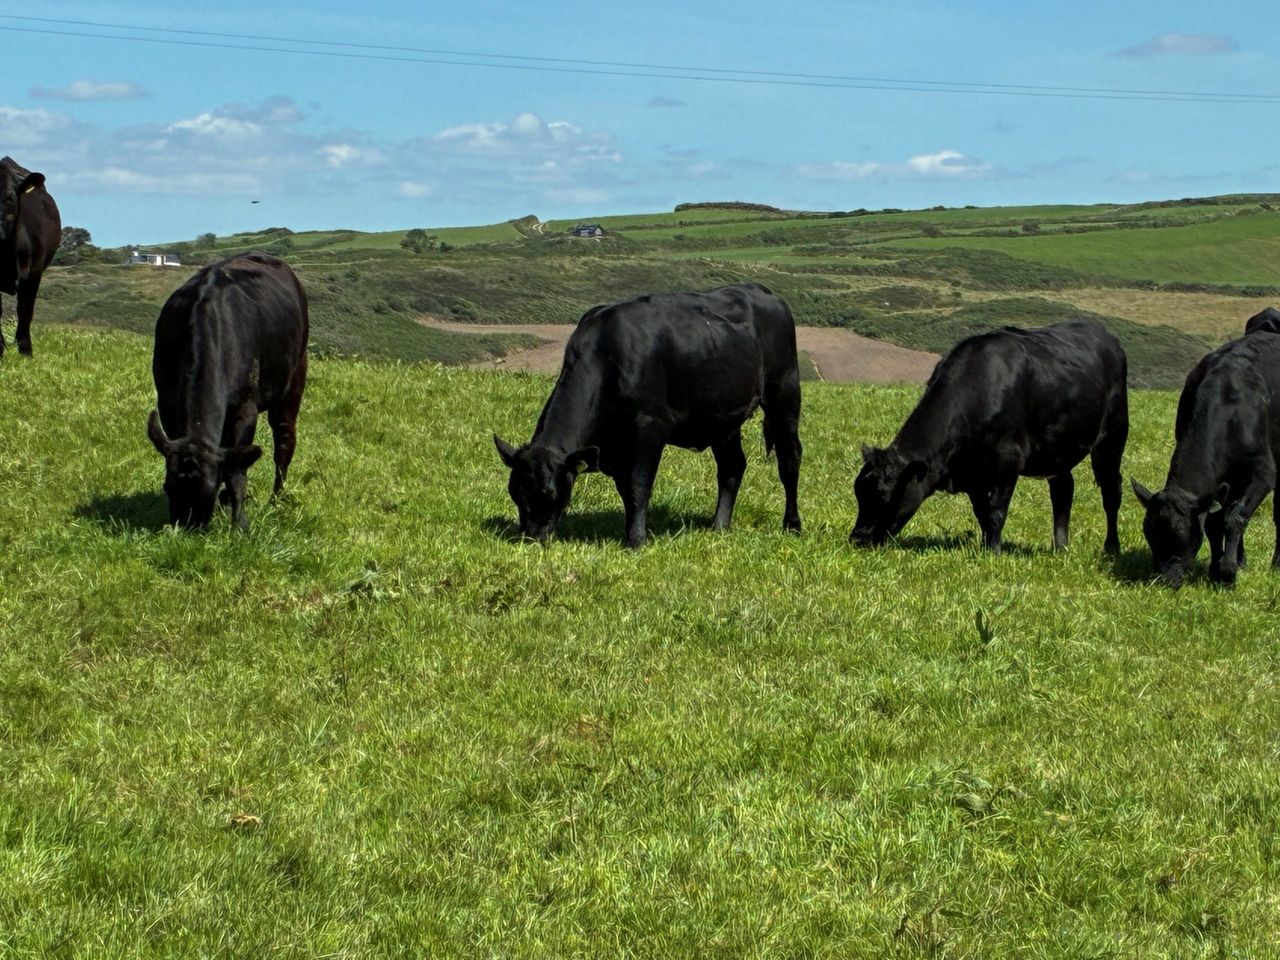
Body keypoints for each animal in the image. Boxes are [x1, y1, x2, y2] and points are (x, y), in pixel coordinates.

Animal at [147, 253, 308, 531]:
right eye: (168, 487)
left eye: (207, 491)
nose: (188, 527)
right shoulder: (166, 403)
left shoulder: (245, 409)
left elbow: (236, 472)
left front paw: (240, 522)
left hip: (296, 373)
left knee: (284, 439)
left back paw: (277, 500)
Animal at [493, 282, 802, 547]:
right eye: (514, 491)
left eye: (549, 493)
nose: (531, 538)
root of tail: (763, 291)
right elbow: (624, 488)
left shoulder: (649, 429)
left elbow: (637, 486)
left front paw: (636, 540)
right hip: (723, 418)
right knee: (732, 466)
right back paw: (719, 525)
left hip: (784, 392)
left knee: (789, 460)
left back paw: (792, 525)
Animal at [850, 318, 1128, 554]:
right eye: (858, 492)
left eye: (884, 496)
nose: (857, 538)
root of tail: (1103, 332)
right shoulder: (973, 471)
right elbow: (981, 511)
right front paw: (985, 546)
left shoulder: (1009, 458)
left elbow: (996, 510)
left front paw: (993, 552)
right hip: (1057, 448)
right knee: (1063, 490)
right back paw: (1060, 548)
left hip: (1113, 435)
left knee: (1111, 493)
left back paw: (1111, 548)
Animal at [1131, 331, 1280, 587]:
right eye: (1149, 534)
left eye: (1180, 536)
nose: (1164, 580)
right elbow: (1214, 521)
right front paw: (1216, 569)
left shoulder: (1263, 474)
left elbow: (1235, 516)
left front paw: (1228, 572)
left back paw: (1276, 563)